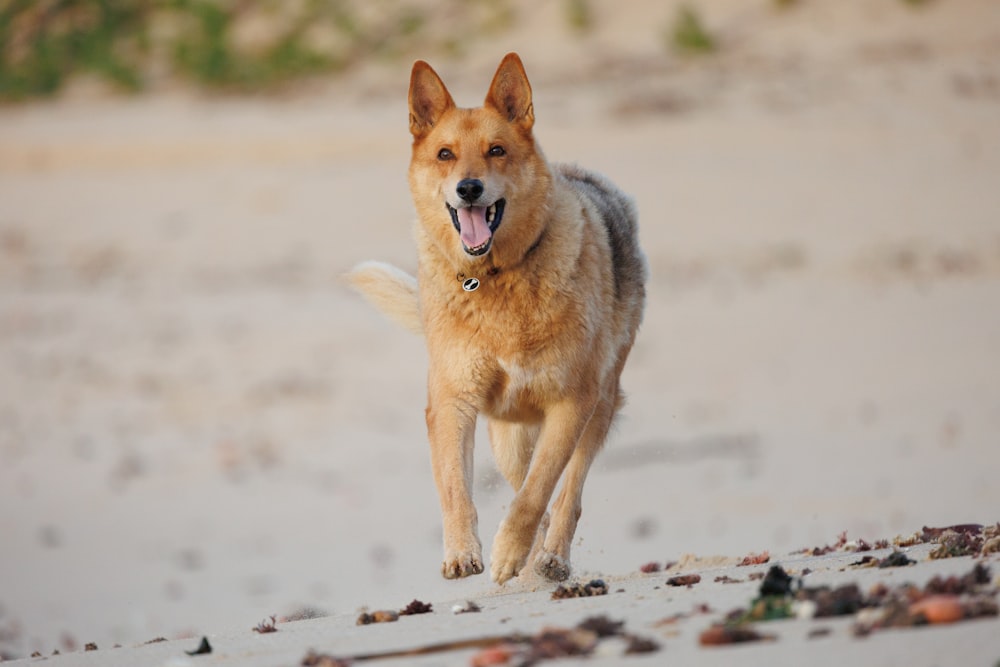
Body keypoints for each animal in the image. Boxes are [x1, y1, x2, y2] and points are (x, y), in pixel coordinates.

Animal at [352, 53, 648, 584]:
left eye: (497, 150)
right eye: (445, 154)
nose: (469, 189)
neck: (494, 278)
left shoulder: (572, 403)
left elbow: (538, 491)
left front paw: (510, 550)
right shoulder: (453, 402)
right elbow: (456, 487)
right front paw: (461, 552)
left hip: (599, 405)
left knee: (566, 494)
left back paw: (549, 558)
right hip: (509, 436)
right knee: (531, 486)